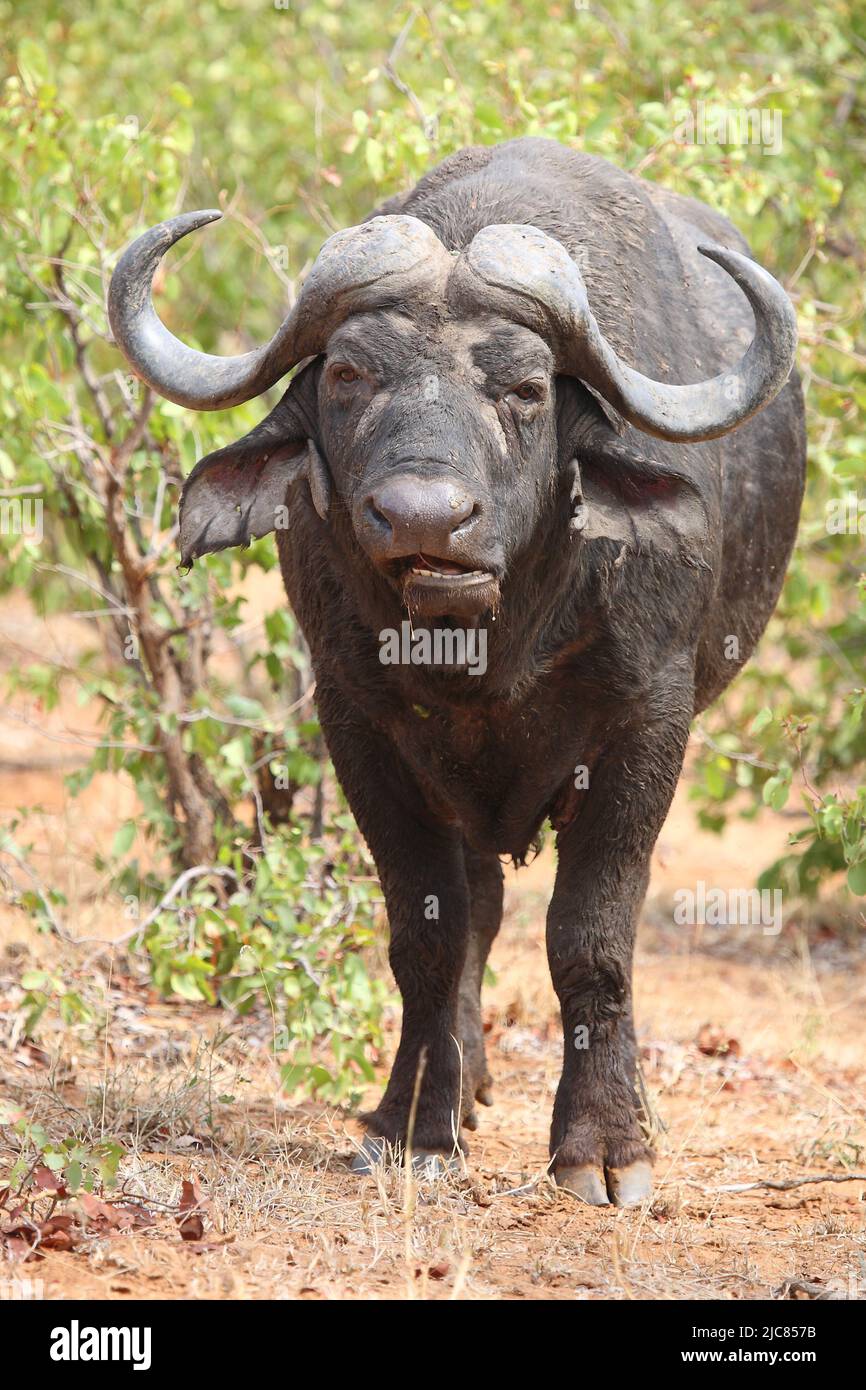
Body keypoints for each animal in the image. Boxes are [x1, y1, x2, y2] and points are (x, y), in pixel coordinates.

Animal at [109, 138, 805, 1206]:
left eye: (524, 389)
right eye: (349, 373)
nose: (424, 519)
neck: (483, 643)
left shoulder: (649, 725)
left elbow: (592, 936)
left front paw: (606, 1144)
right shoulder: (358, 727)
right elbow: (427, 935)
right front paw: (415, 1129)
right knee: (474, 911)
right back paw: (450, 1089)